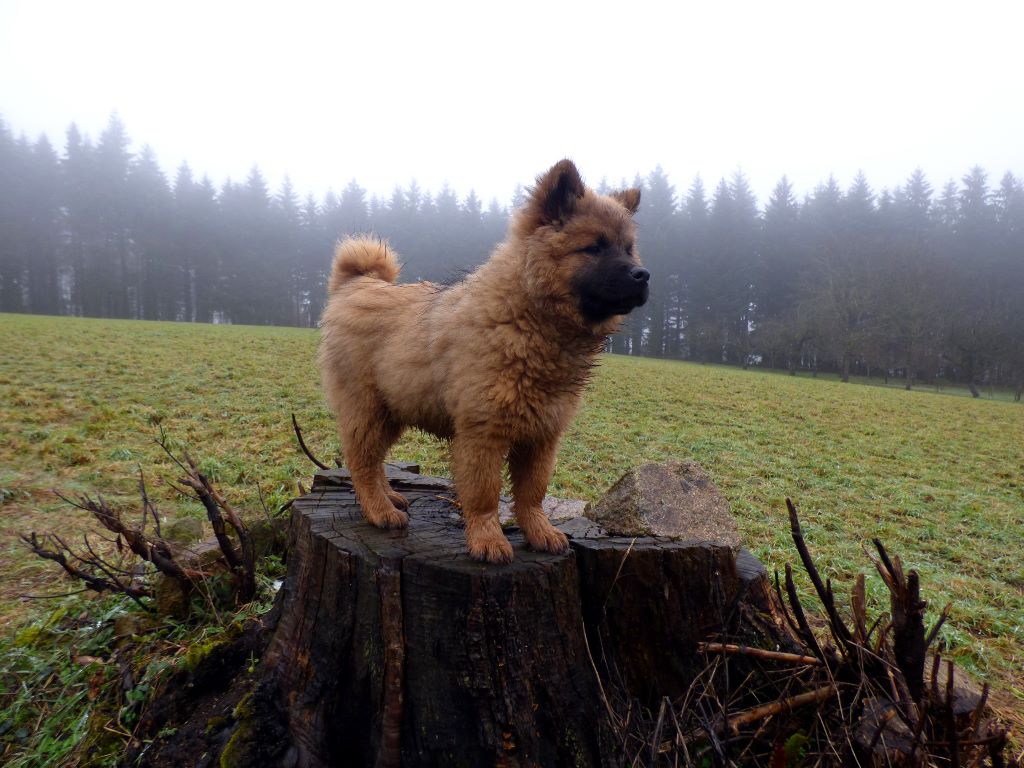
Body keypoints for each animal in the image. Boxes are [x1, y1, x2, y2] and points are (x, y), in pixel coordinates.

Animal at [317, 157, 647, 565]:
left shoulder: (542, 436)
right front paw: (488, 540)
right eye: (594, 248)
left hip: (394, 409)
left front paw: (539, 532)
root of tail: (355, 285)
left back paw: (390, 497)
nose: (642, 275)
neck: (526, 318)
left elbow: (532, 493)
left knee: (373, 460)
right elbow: (485, 494)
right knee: (361, 462)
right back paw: (380, 511)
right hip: (368, 409)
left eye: (628, 249)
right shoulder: (483, 433)